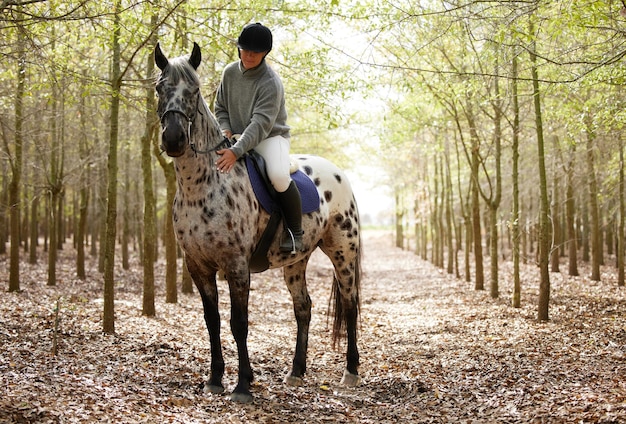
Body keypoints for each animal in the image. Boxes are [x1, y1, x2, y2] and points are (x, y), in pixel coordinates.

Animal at [154, 43, 360, 404]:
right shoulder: (197, 266)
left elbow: (239, 323)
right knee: (303, 307)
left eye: (194, 90)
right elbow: (212, 321)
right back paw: (296, 372)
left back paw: (350, 372)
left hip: (343, 254)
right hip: (296, 262)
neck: (202, 186)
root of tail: (338, 172)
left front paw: (242, 386)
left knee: (349, 305)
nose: (174, 140)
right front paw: (214, 379)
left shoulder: (237, 266)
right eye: (158, 88)